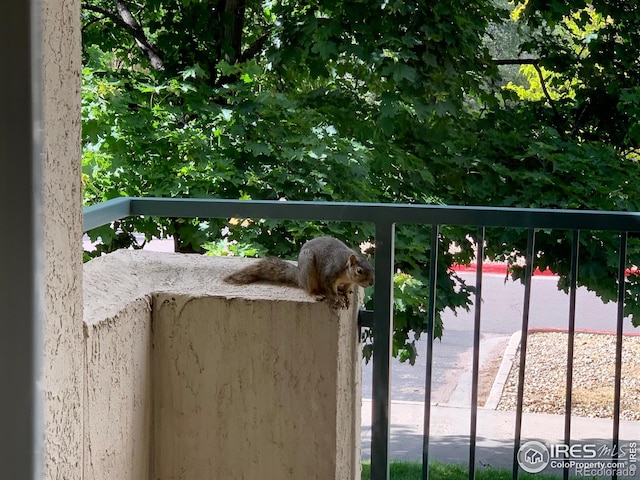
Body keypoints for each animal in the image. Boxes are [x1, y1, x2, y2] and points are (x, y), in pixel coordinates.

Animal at [225, 234, 376, 310]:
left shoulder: (349, 282)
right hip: (308, 267)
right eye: (359, 270)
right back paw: (317, 294)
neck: (346, 271)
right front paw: (337, 299)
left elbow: (346, 289)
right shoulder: (329, 274)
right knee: (311, 289)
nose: (371, 283)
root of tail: (300, 277)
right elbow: (330, 289)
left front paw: (346, 296)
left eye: (372, 268)